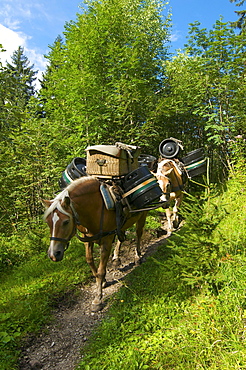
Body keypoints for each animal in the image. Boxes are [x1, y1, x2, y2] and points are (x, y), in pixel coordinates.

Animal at [42, 178, 146, 310]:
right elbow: (89, 260)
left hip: (142, 215)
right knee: (122, 237)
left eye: (66, 221)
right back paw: (116, 258)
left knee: (138, 234)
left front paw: (98, 299)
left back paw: (137, 256)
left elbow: (101, 270)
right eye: (48, 222)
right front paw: (103, 281)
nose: (54, 254)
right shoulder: (88, 239)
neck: (94, 207)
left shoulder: (107, 240)